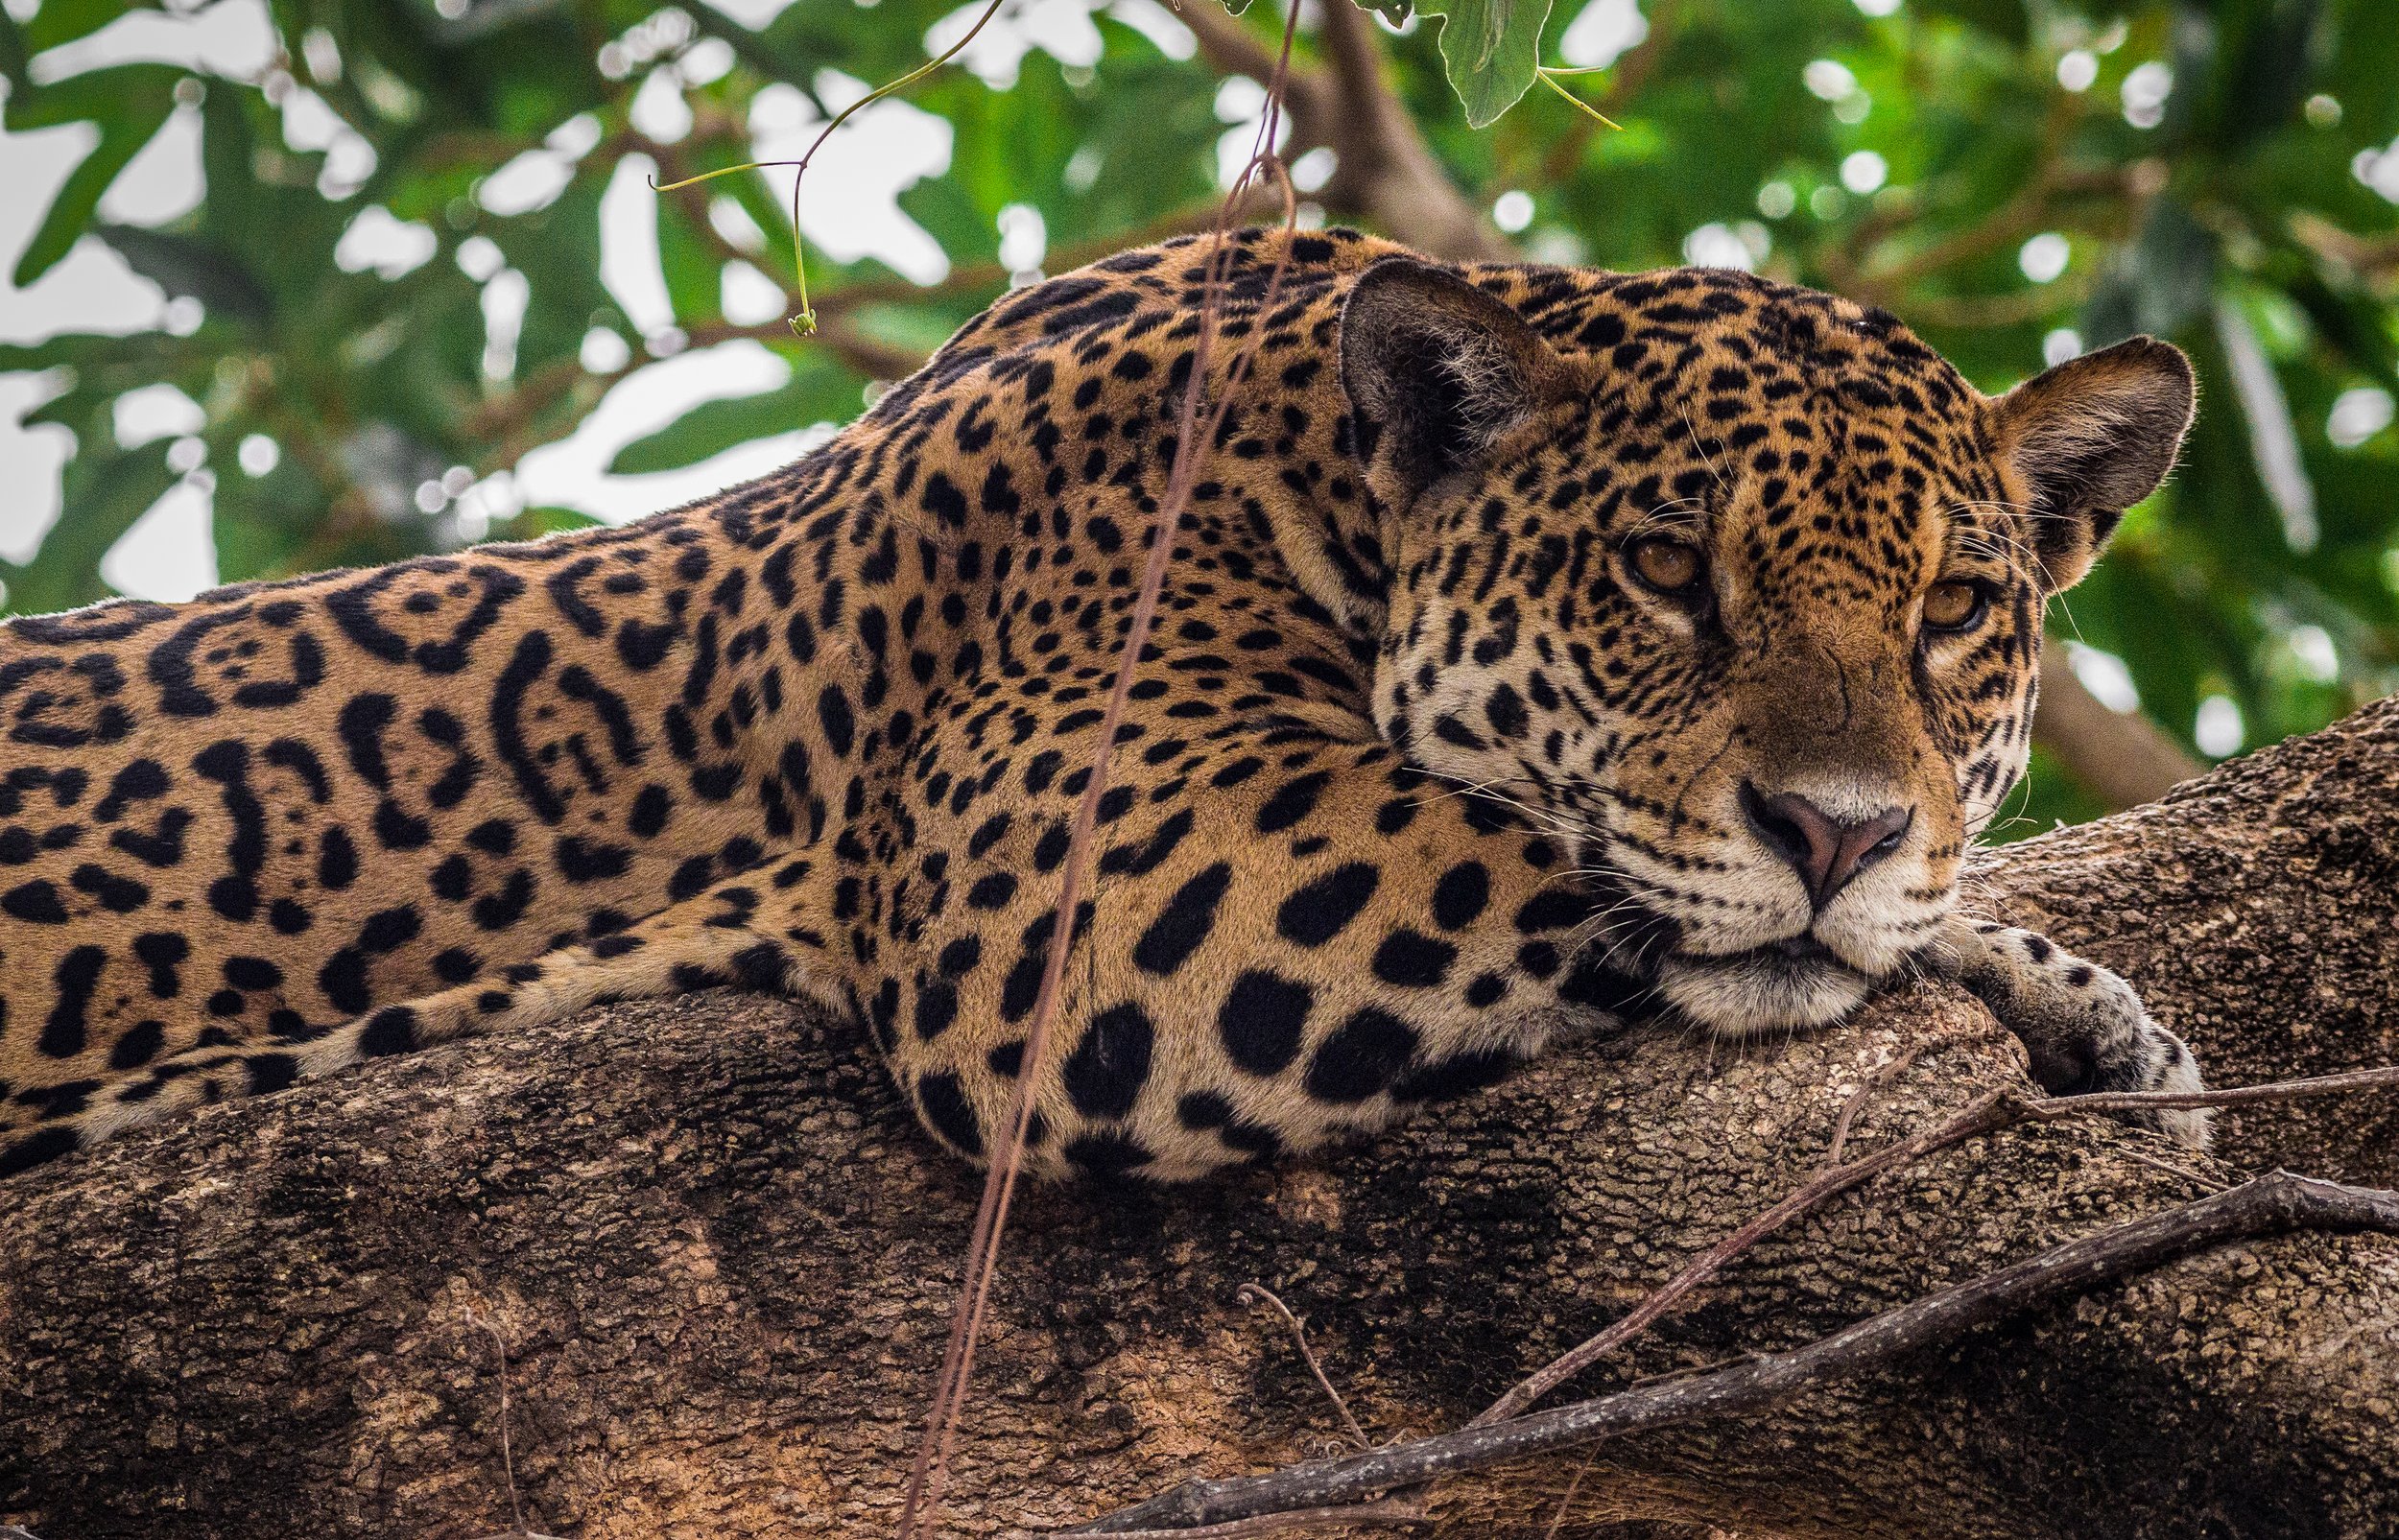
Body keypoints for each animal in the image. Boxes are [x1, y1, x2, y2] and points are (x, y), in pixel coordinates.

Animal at [0, 225, 2208, 1183]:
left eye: (1951, 610)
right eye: (1667, 571)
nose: (1838, 827)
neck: (1315, 455)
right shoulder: (1112, 857)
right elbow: (1550, 853)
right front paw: (2042, 976)